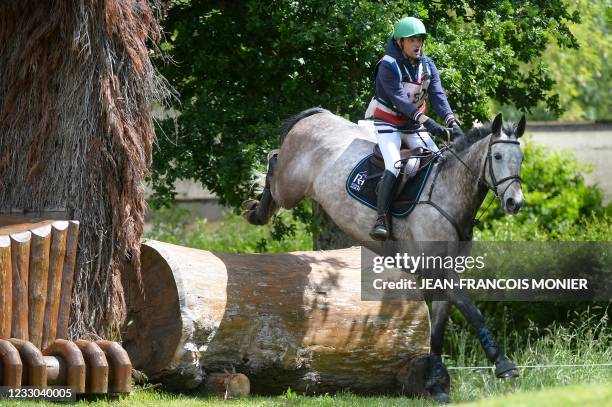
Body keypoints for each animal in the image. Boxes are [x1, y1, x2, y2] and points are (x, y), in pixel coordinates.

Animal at [244, 107, 524, 404]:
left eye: (520, 159)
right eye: (497, 156)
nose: (514, 203)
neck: (448, 193)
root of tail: (315, 115)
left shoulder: (447, 272)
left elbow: (438, 328)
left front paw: (435, 384)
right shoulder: (437, 270)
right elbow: (471, 310)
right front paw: (503, 363)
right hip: (290, 187)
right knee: (274, 163)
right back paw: (256, 211)